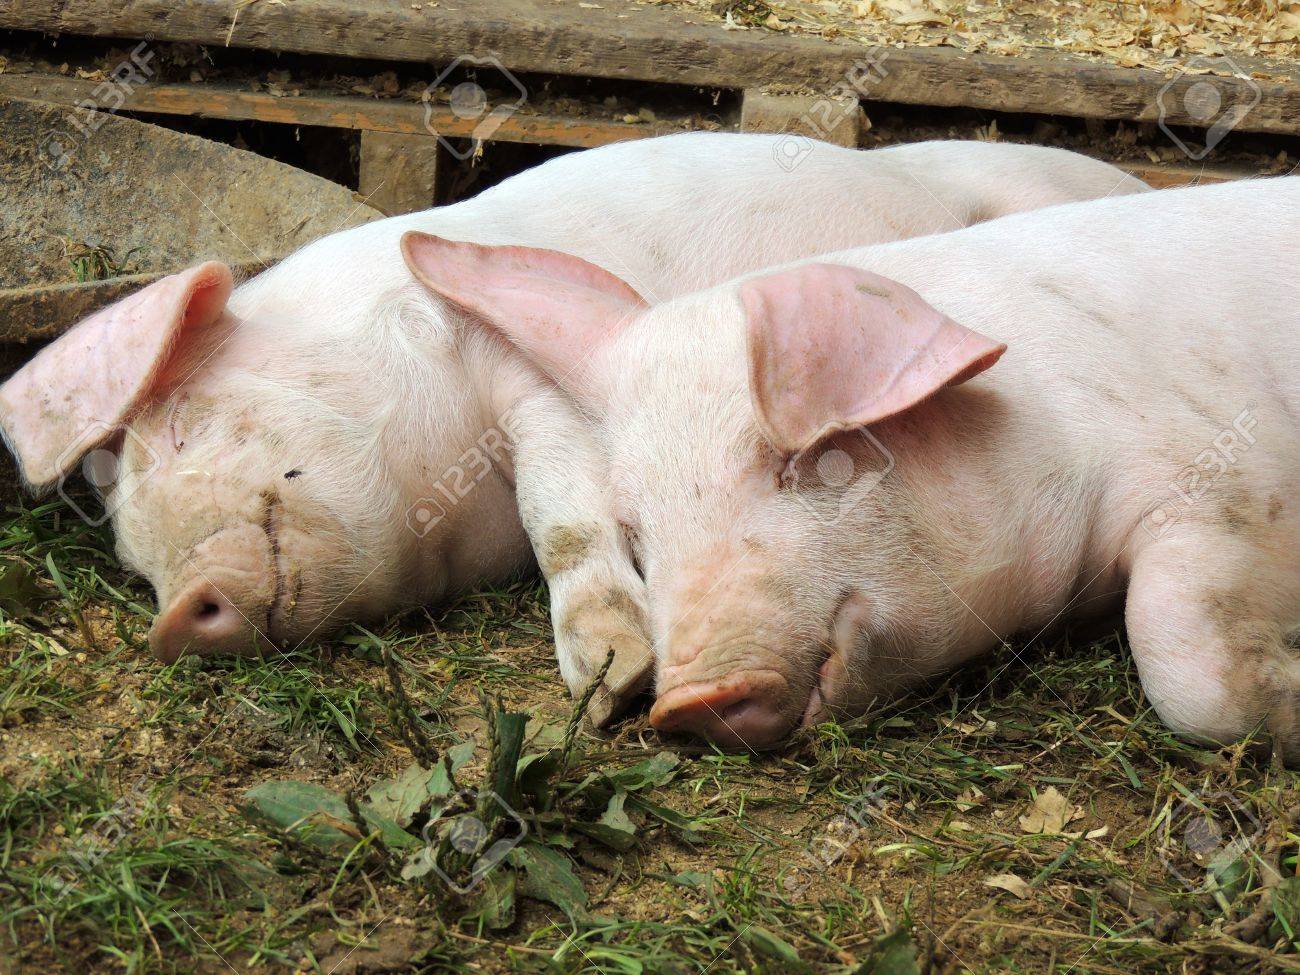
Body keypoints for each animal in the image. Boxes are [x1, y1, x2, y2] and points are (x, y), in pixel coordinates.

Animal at [0, 133, 1148, 725]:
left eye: (183, 424)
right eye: (131, 558)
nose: (171, 614)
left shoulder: (524, 374)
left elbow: (561, 505)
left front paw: (607, 686)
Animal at [407, 176, 1300, 761]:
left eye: (812, 461)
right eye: (636, 531)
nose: (691, 699)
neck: (1043, 409)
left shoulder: (1220, 476)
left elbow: (1184, 655)